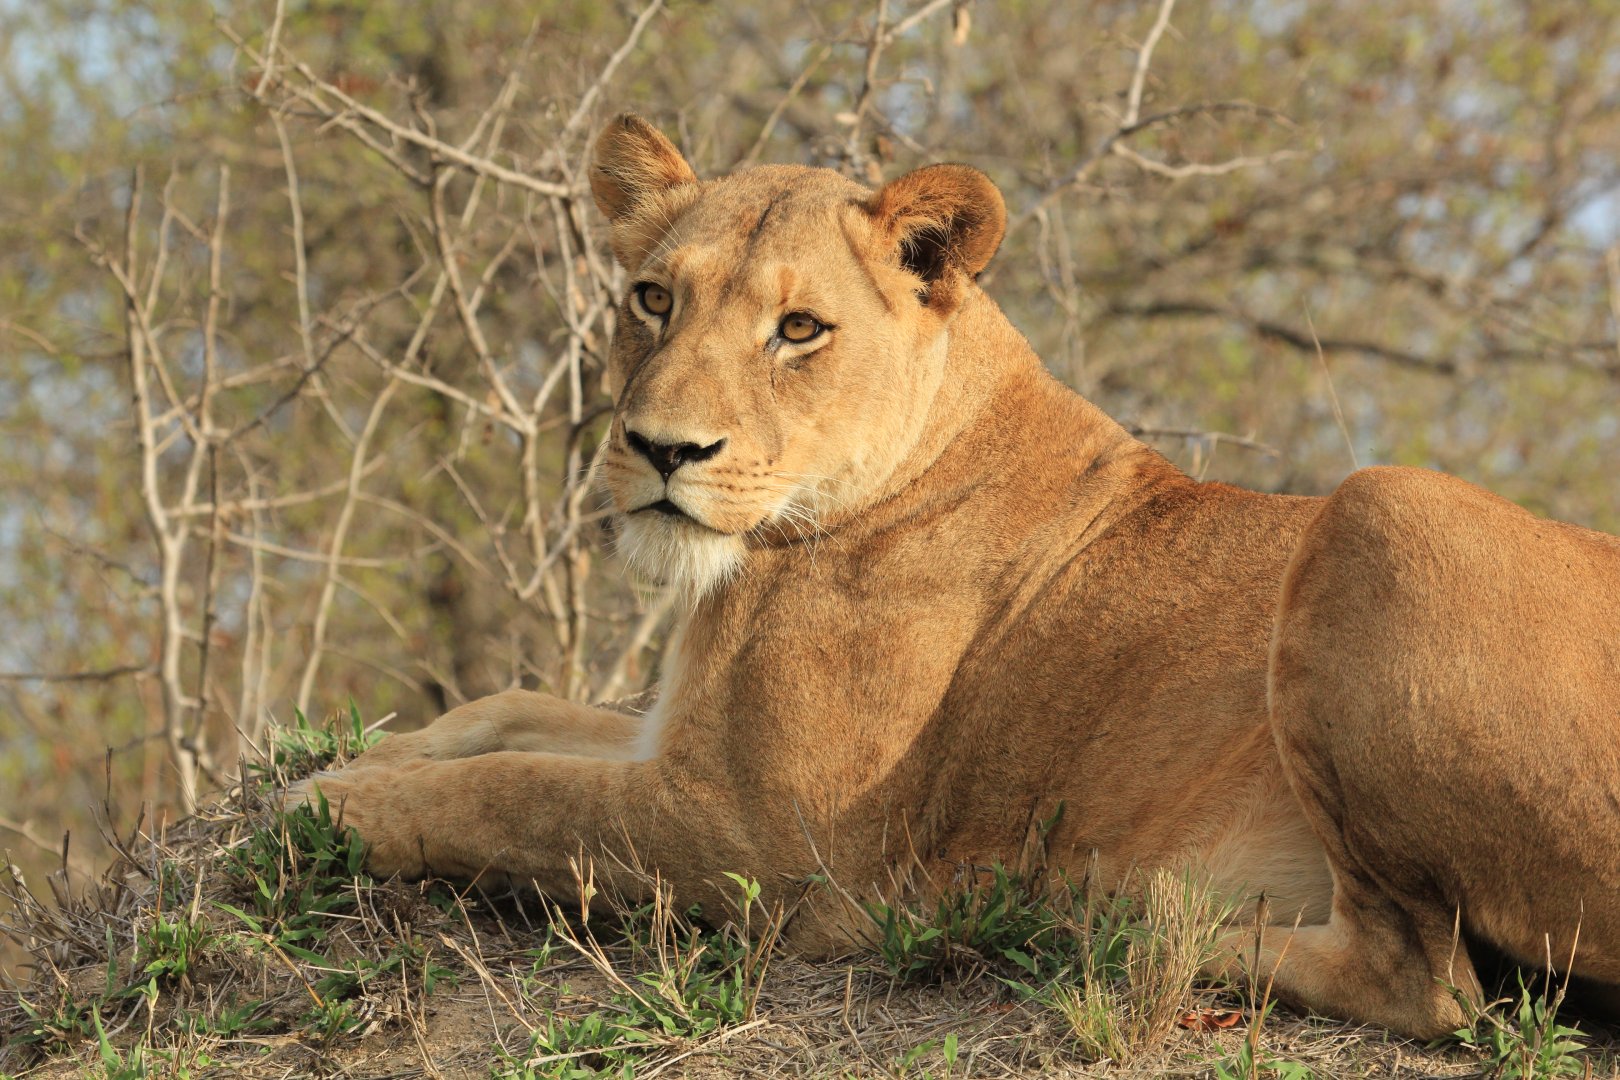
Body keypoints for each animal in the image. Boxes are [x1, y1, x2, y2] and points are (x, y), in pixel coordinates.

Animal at [300, 113, 1620, 1038]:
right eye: (652, 299)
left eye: (799, 330)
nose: (661, 451)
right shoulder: (675, 738)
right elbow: (509, 715)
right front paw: (374, 759)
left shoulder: (764, 842)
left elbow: (515, 796)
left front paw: (334, 806)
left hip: (1379, 506)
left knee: (1426, 983)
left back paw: (1095, 916)